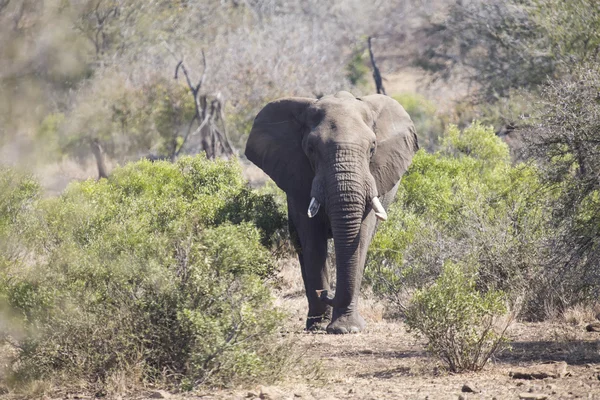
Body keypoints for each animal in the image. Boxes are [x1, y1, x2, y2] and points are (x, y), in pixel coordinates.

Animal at [244, 91, 418, 334]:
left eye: (372, 148)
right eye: (311, 149)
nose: (326, 293)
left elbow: (361, 239)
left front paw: (347, 329)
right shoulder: (299, 177)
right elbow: (312, 240)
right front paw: (322, 325)